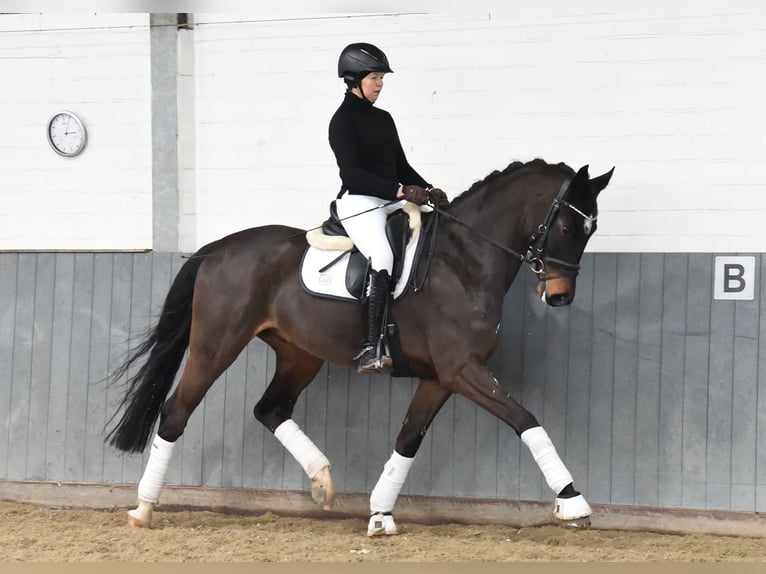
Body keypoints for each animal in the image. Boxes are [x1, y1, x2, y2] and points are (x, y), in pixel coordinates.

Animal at [105, 159, 616, 540]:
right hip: (217, 345)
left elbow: (408, 440)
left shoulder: (440, 378)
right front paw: (573, 502)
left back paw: (322, 482)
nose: (559, 297)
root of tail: (216, 249)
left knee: (270, 409)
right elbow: (526, 419)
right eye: (567, 226)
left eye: (590, 230)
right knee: (177, 411)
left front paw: (380, 515)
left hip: (299, 354)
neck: (463, 262)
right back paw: (143, 509)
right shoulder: (462, 369)